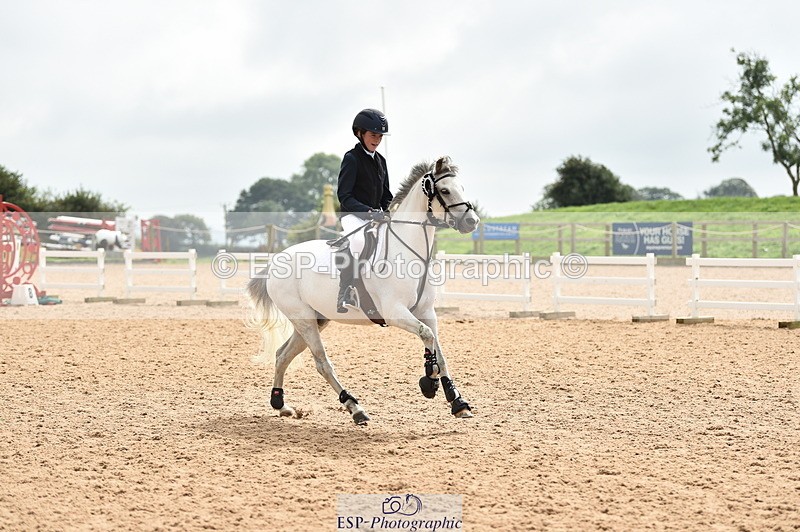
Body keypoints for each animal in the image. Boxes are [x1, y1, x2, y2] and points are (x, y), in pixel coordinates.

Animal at [246, 156, 480, 425]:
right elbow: (427, 336)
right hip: (303, 319)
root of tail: (276, 260)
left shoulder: (426, 312)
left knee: (283, 354)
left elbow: (438, 350)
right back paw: (355, 408)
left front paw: (457, 401)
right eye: (445, 191)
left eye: (461, 188)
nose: (472, 221)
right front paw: (428, 382)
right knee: (322, 363)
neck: (408, 250)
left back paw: (281, 404)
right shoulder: (395, 312)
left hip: (315, 319)